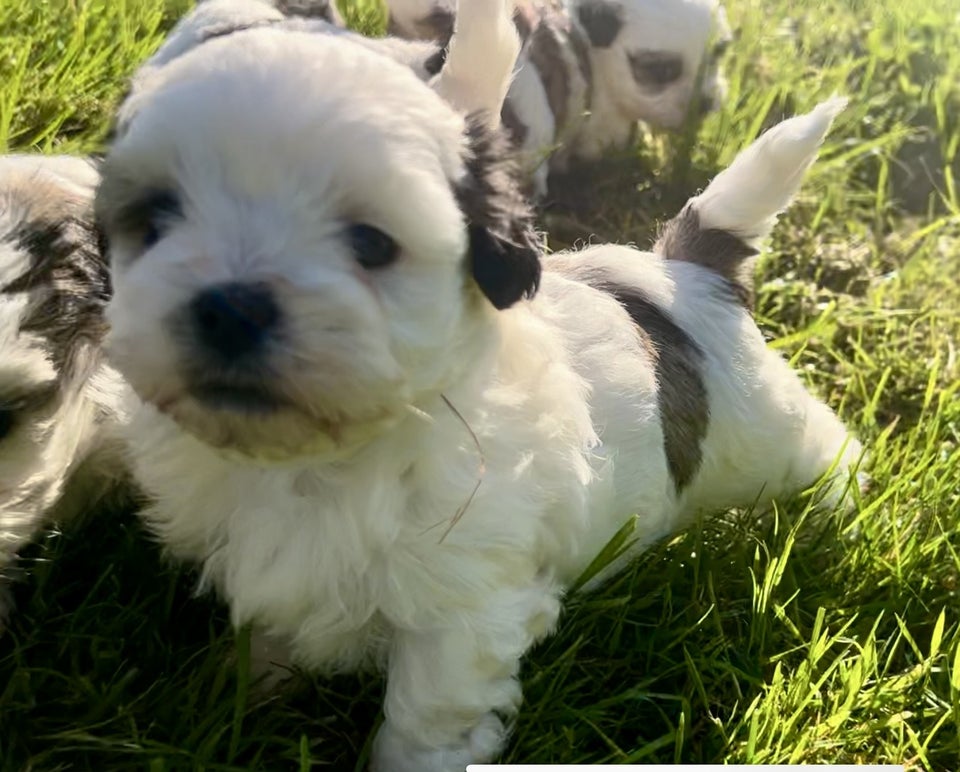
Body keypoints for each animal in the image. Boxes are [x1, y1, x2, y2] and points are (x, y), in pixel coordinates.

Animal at [95, 4, 864, 764]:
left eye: (370, 242)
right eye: (155, 219)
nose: (230, 307)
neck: (320, 459)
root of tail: (687, 270)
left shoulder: (463, 614)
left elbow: (426, 720)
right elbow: (273, 630)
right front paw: (238, 699)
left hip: (762, 430)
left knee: (821, 444)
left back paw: (840, 502)